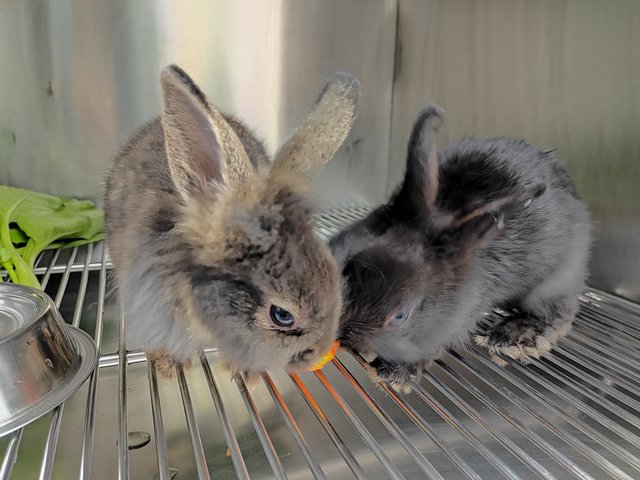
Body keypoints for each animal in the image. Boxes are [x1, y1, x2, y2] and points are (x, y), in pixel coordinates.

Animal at [332, 106, 592, 390]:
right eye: (340, 256)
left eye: (400, 316)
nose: (344, 339)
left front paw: (395, 373)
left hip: (556, 281)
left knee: (557, 315)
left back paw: (512, 334)